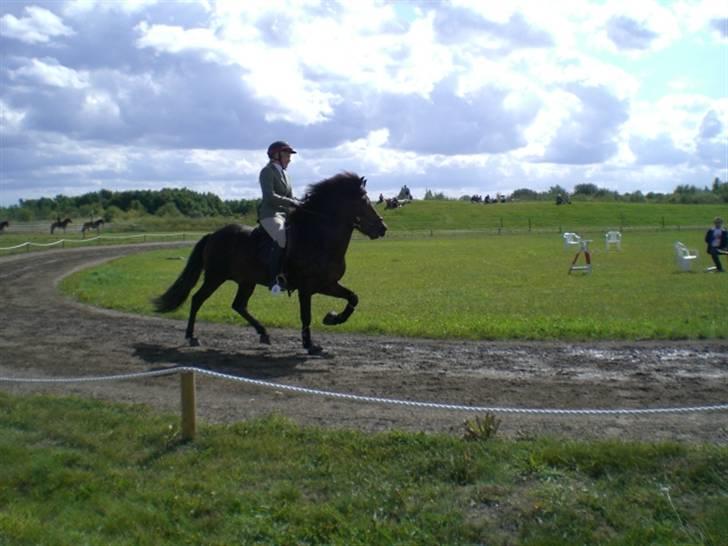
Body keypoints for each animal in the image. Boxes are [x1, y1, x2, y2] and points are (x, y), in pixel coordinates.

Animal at [153, 172, 386, 354]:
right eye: (363, 201)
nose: (382, 228)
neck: (317, 236)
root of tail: (213, 235)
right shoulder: (307, 288)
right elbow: (306, 315)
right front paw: (310, 345)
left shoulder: (327, 284)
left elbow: (353, 297)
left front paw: (332, 318)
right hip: (215, 277)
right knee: (197, 299)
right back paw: (191, 337)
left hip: (246, 281)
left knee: (238, 305)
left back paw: (263, 333)